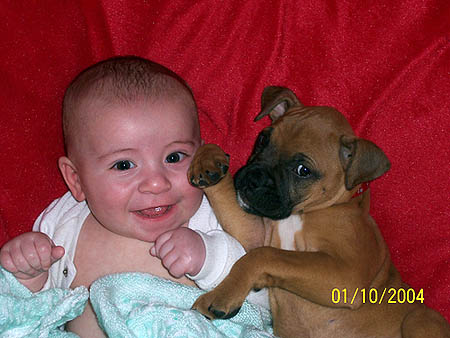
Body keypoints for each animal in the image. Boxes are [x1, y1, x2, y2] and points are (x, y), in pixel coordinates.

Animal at [187, 86, 450, 336]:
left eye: (303, 170)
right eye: (262, 139)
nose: (253, 179)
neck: (303, 213)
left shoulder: (346, 275)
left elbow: (265, 255)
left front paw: (222, 295)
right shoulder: (255, 235)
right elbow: (254, 247)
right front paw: (208, 158)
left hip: (419, 318)